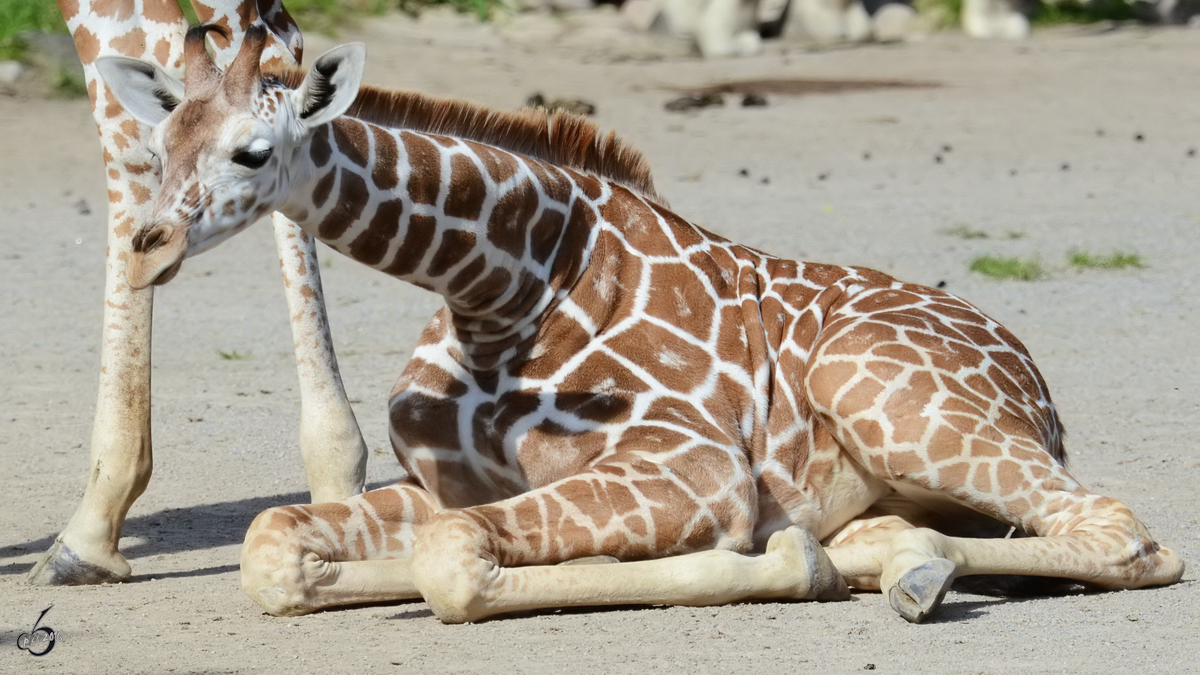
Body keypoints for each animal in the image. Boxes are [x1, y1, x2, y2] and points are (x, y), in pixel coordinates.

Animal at [96, 26, 1180, 624]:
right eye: (157, 141)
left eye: (252, 151)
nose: (147, 244)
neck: (502, 285)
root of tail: (1037, 388)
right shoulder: (441, 484)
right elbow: (273, 547)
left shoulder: (693, 468)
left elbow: (453, 563)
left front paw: (773, 562)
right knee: (949, 531)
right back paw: (903, 564)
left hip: (891, 401)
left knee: (1127, 535)